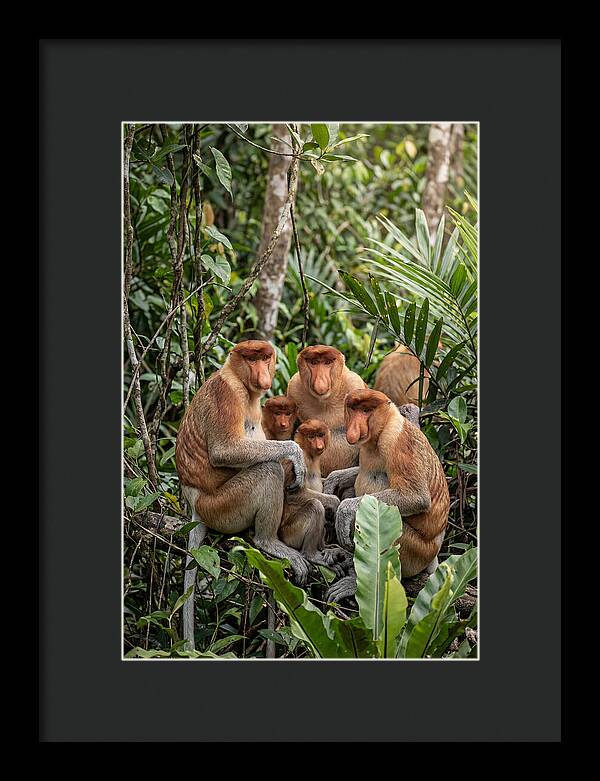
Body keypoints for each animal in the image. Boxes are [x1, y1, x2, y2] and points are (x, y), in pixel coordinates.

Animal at [175, 340, 312, 588]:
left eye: (265, 358)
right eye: (251, 359)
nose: (262, 374)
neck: (237, 377)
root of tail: (194, 502)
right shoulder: (227, 394)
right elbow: (224, 450)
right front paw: (295, 454)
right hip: (221, 507)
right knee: (269, 470)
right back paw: (267, 542)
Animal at [286, 345, 367, 478]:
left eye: (327, 362)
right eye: (314, 362)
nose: (321, 381)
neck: (324, 402)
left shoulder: (354, 383)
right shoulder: (293, 388)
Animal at [323, 389, 450, 604]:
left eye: (366, 410)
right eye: (353, 409)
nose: (354, 429)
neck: (383, 428)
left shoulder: (397, 442)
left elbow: (416, 497)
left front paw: (345, 509)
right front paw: (333, 480)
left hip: (415, 551)